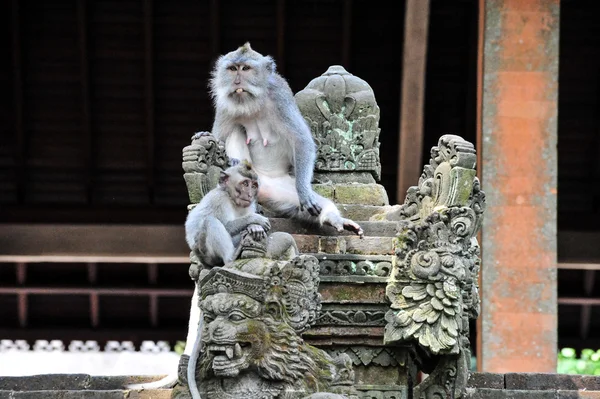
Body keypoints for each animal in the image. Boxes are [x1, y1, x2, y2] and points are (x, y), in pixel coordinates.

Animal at [199, 42, 364, 239]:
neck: (251, 102)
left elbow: (301, 140)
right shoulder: (225, 105)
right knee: (236, 128)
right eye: (232, 69)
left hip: (274, 186)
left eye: (245, 68)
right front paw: (205, 137)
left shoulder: (280, 96)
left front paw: (304, 192)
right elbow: (219, 138)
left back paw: (333, 217)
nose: (237, 82)